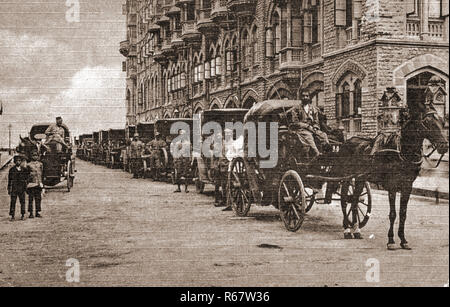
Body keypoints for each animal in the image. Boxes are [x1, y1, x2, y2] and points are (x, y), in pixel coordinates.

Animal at [334, 102, 446, 251]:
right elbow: (393, 214)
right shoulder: (392, 186)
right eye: (428, 122)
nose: (444, 146)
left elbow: (403, 213)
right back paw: (347, 229)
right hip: (346, 177)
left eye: (442, 121)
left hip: (359, 178)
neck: (403, 151)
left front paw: (403, 240)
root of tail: (348, 141)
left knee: (354, 201)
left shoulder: (407, 186)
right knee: (344, 201)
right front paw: (391, 240)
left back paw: (356, 230)